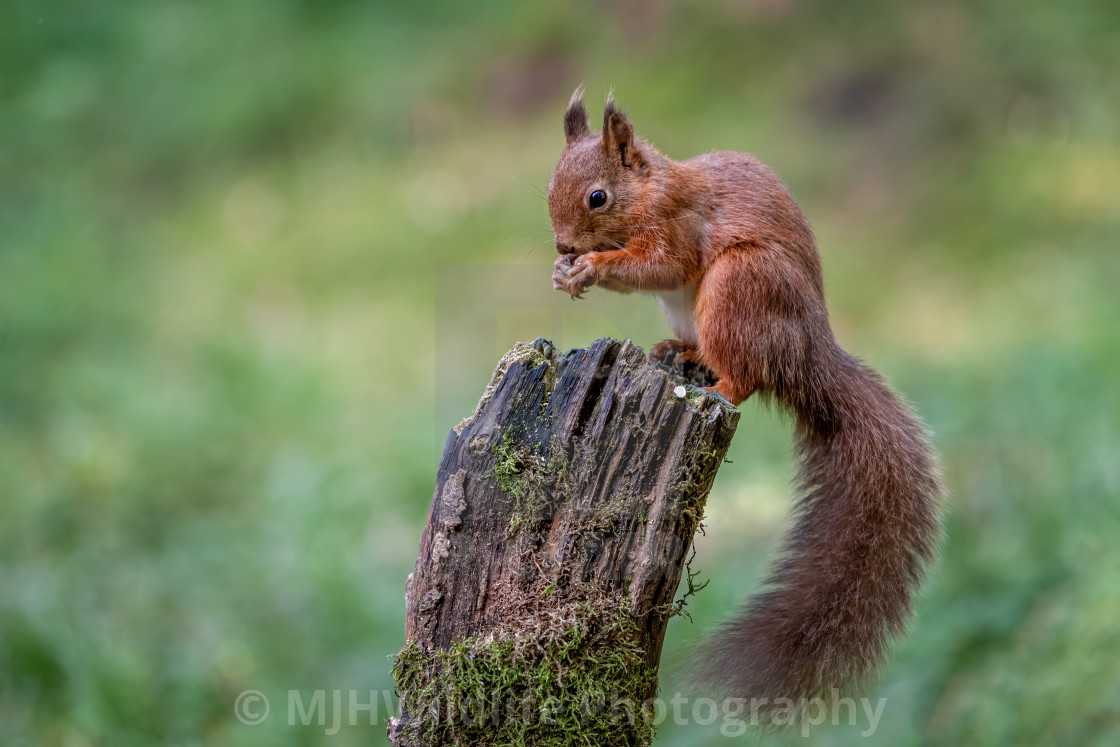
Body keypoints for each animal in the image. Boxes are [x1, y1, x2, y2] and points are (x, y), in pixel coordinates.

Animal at [546, 91, 940, 712]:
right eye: (549, 183)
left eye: (597, 197)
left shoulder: (679, 228)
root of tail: (808, 354)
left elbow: (661, 263)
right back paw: (680, 352)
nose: (562, 245)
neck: (652, 191)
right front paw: (565, 273)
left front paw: (590, 267)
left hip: (741, 285)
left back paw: (719, 386)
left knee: (748, 376)